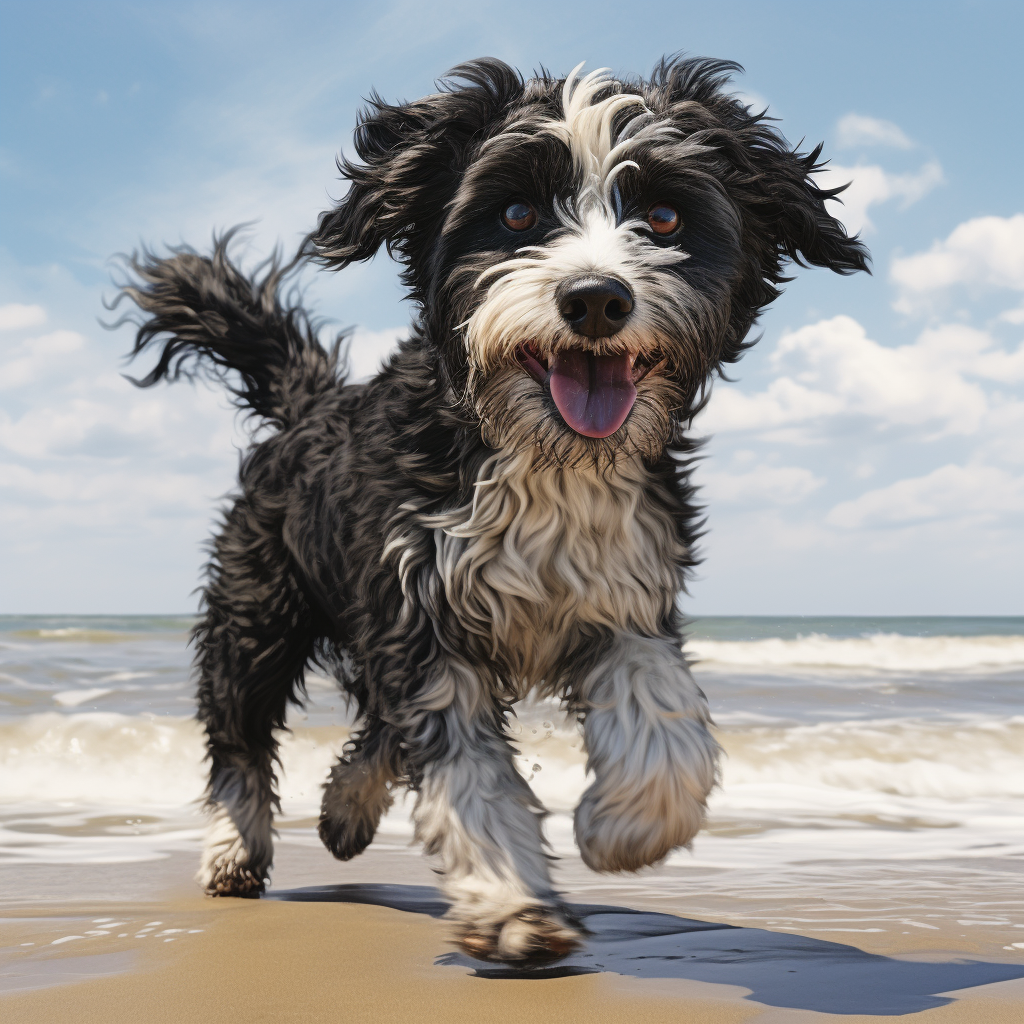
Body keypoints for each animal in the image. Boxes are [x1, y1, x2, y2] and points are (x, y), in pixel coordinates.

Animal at [117, 59, 872, 962]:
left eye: (662, 216)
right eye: (515, 214)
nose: (595, 299)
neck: (544, 457)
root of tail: (309, 403)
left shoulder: (623, 594)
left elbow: (663, 714)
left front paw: (626, 826)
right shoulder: (422, 613)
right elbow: (465, 768)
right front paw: (514, 904)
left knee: (376, 727)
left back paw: (344, 812)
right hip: (257, 613)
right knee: (240, 733)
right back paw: (235, 848)